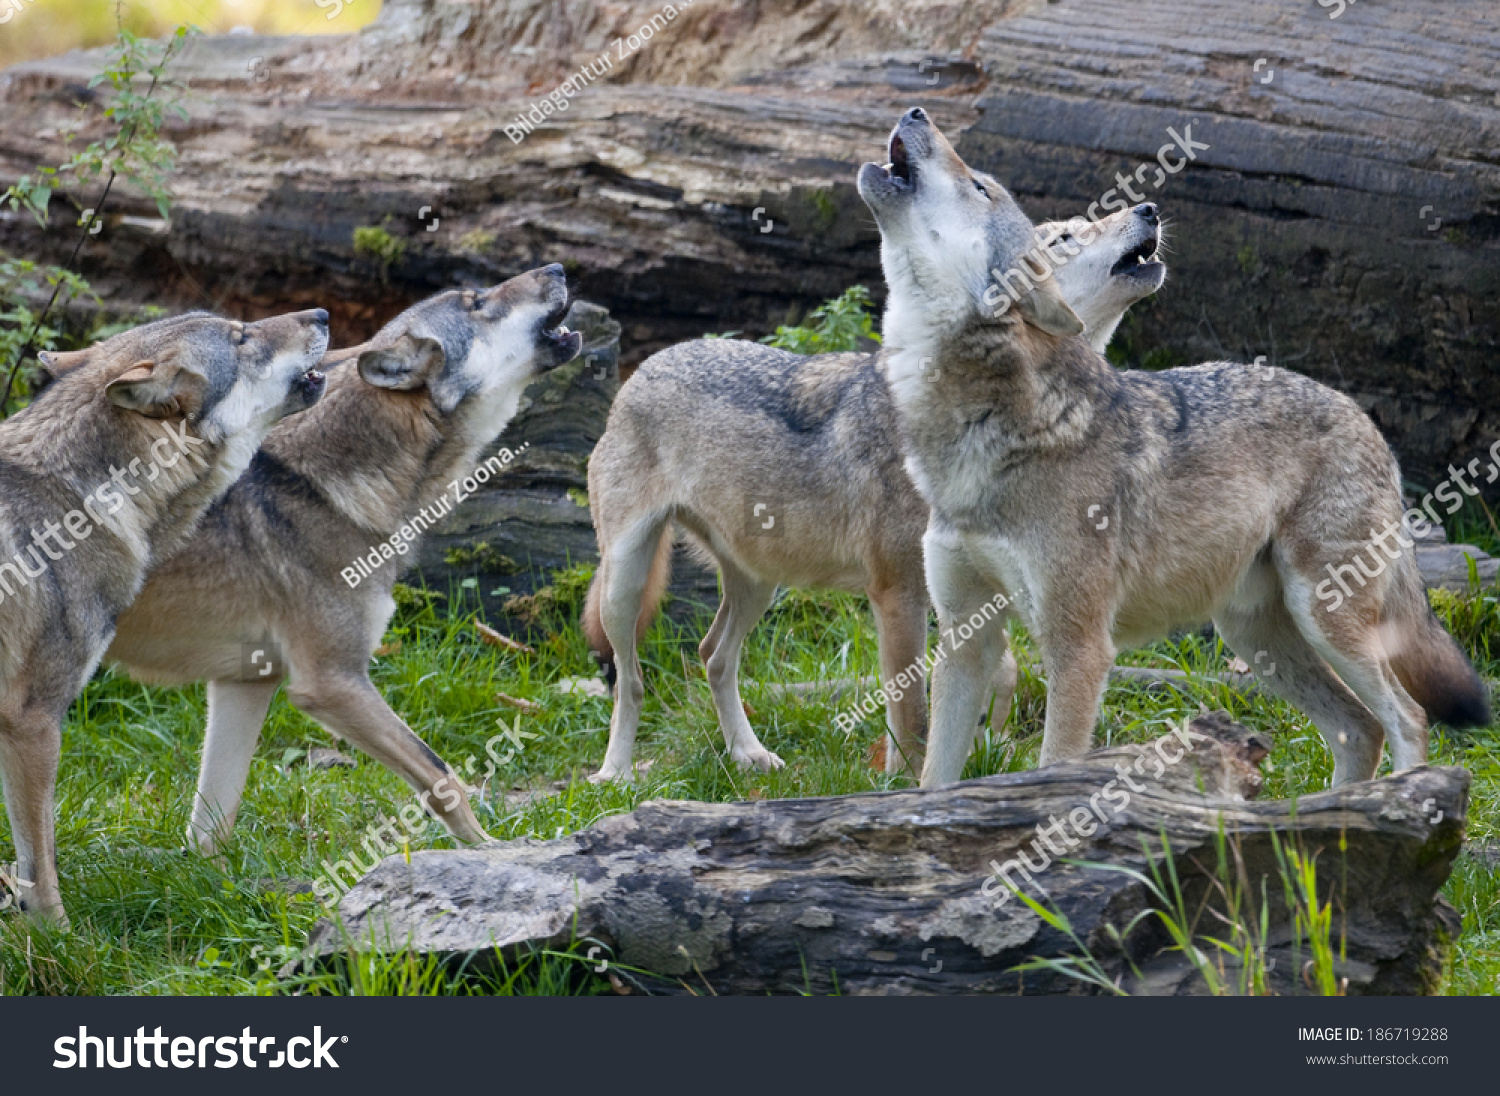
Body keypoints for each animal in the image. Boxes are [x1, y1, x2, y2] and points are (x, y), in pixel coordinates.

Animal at [0, 304, 328, 923]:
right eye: (240, 337)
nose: (321, 312)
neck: (81, 498)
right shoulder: (32, 719)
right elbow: (41, 865)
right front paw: (58, 936)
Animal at [104, 265, 579, 863]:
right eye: (475, 302)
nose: (558, 269)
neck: (336, 484)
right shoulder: (333, 682)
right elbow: (441, 773)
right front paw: (491, 851)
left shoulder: (246, 682)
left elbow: (210, 829)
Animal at [579, 203, 1164, 779]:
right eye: (1066, 237)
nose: (1150, 208)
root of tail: (646, 366)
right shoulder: (897, 592)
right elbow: (911, 711)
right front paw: (905, 782)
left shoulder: (971, 591)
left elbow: (1003, 674)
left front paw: (987, 746)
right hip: (625, 584)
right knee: (630, 680)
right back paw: (616, 775)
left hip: (759, 582)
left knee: (712, 654)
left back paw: (748, 754)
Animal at [858, 109, 1488, 791]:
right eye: (1062, 235)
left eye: (979, 185)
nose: (916, 113)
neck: (982, 430)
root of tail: (1360, 414)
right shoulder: (965, 640)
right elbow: (932, 782)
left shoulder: (1080, 647)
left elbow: (1054, 768)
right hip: (1258, 640)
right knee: (1360, 728)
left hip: (1325, 619)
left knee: (1406, 717)